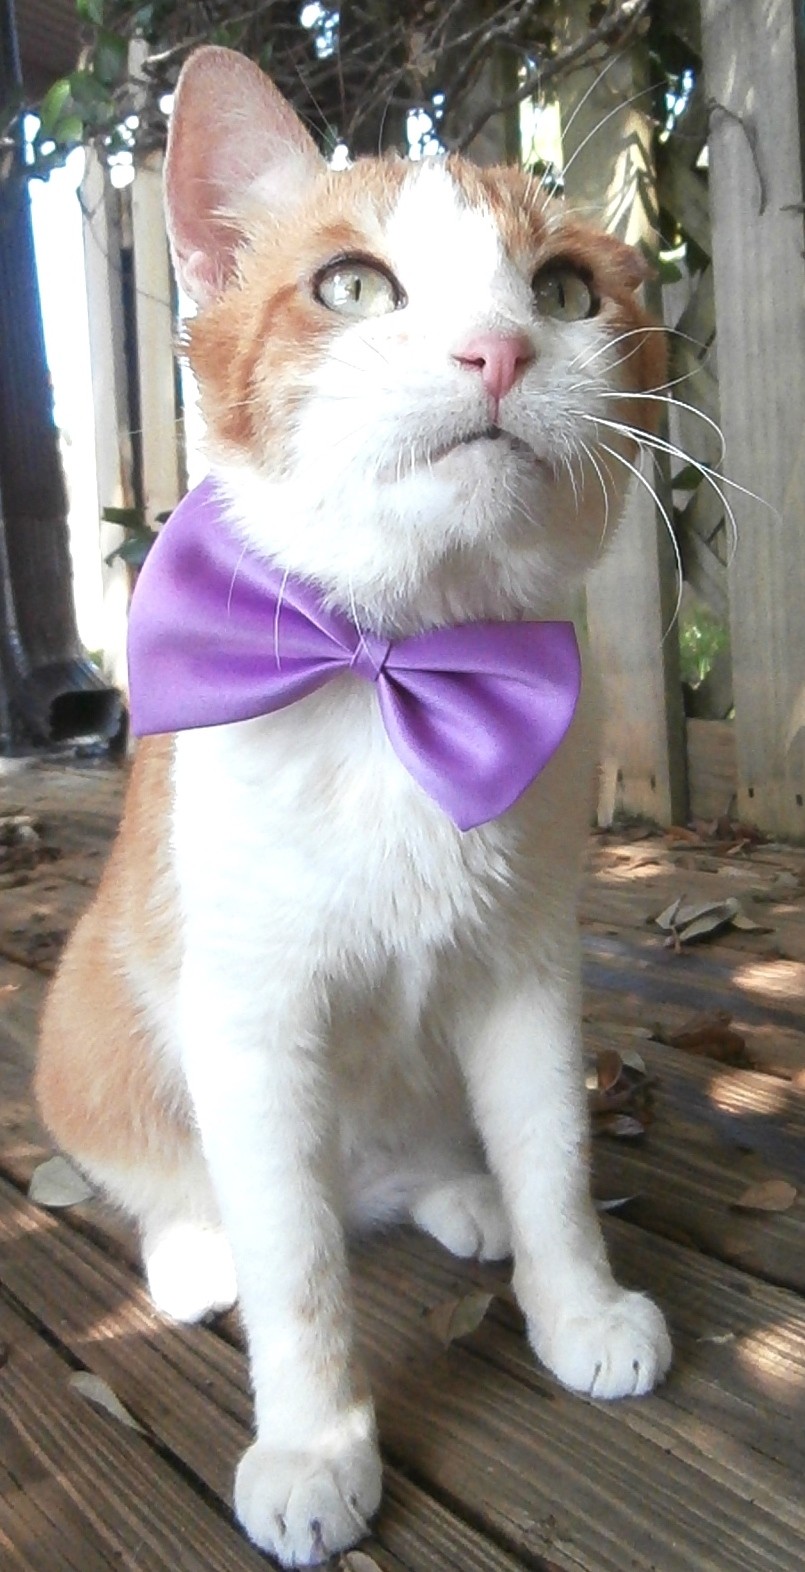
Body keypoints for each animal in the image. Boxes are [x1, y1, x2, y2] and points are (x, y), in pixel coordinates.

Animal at [36, 44, 672, 1568]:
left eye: (566, 291)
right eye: (350, 286)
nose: (497, 351)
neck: (400, 669)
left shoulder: (529, 969)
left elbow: (556, 1154)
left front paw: (576, 1306)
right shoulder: (254, 1025)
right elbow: (299, 1266)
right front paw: (315, 1446)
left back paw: (459, 1196)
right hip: (92, 1007)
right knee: (187, 1180)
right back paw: (193, 1252)